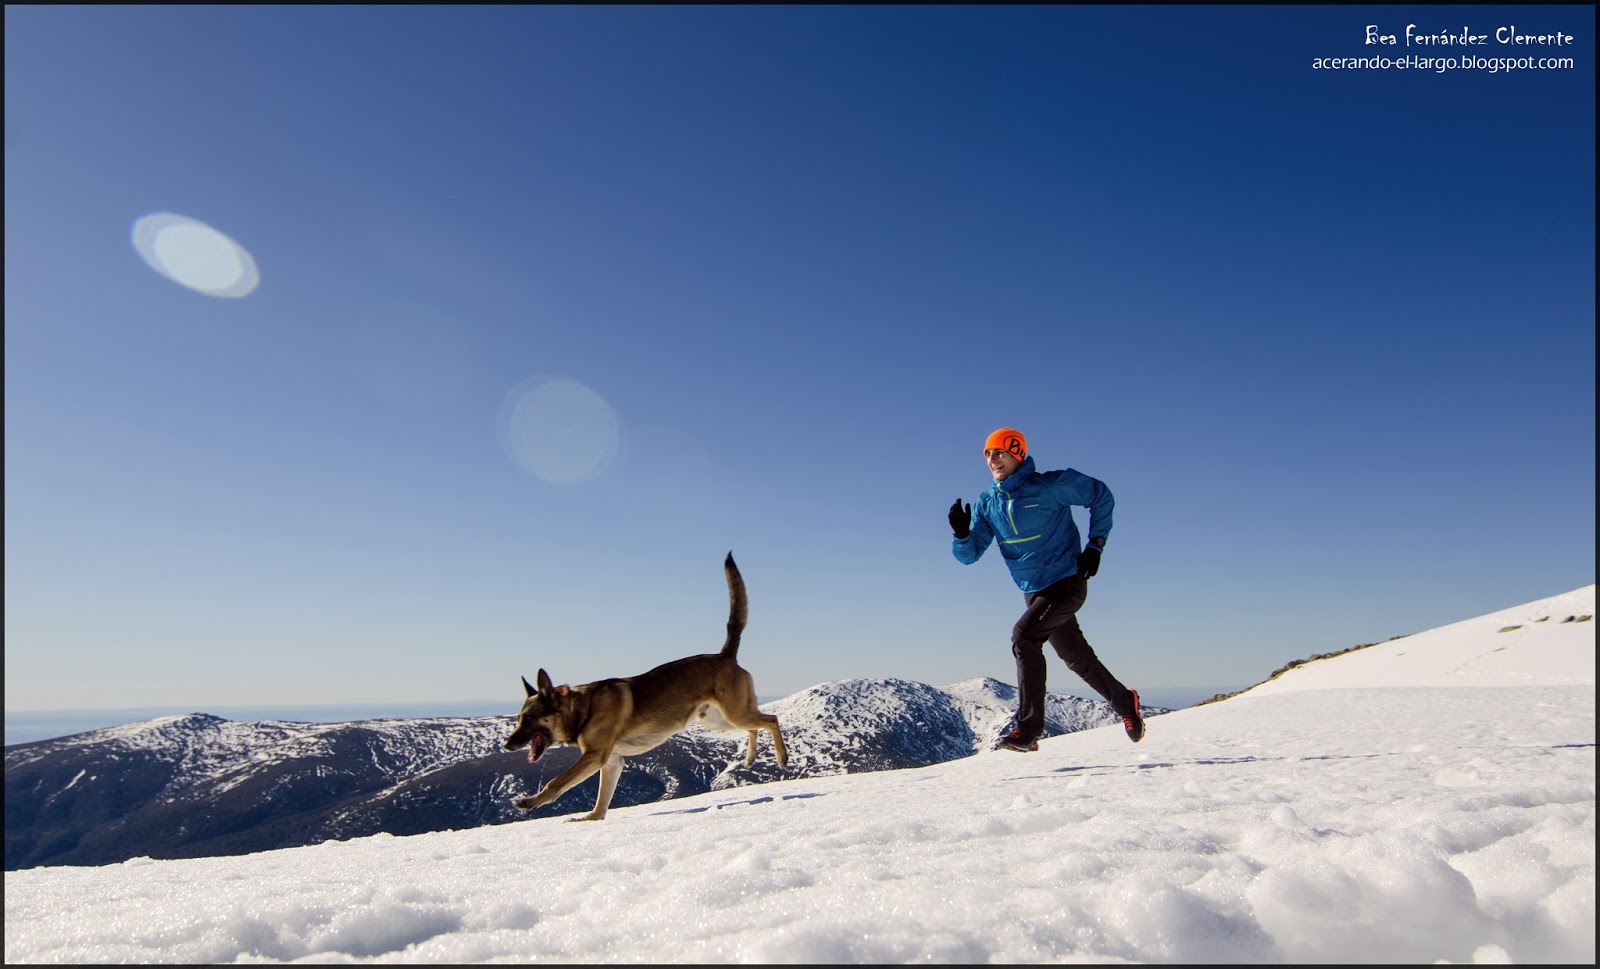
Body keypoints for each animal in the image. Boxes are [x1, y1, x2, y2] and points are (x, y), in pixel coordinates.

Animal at [505, 553, 787, 818]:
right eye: (518, 719)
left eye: (529, 718)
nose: (507, 746)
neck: (580, 708)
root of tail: (725, 655)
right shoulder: (612, 761)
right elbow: (602, 801)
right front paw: (591, 819)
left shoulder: (595, 755)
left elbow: (556, 782)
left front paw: (530, 802)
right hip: (719, 720)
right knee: (756, 725)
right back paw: (750, 758)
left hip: (734, 713)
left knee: (771, 719)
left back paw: (782, 756)